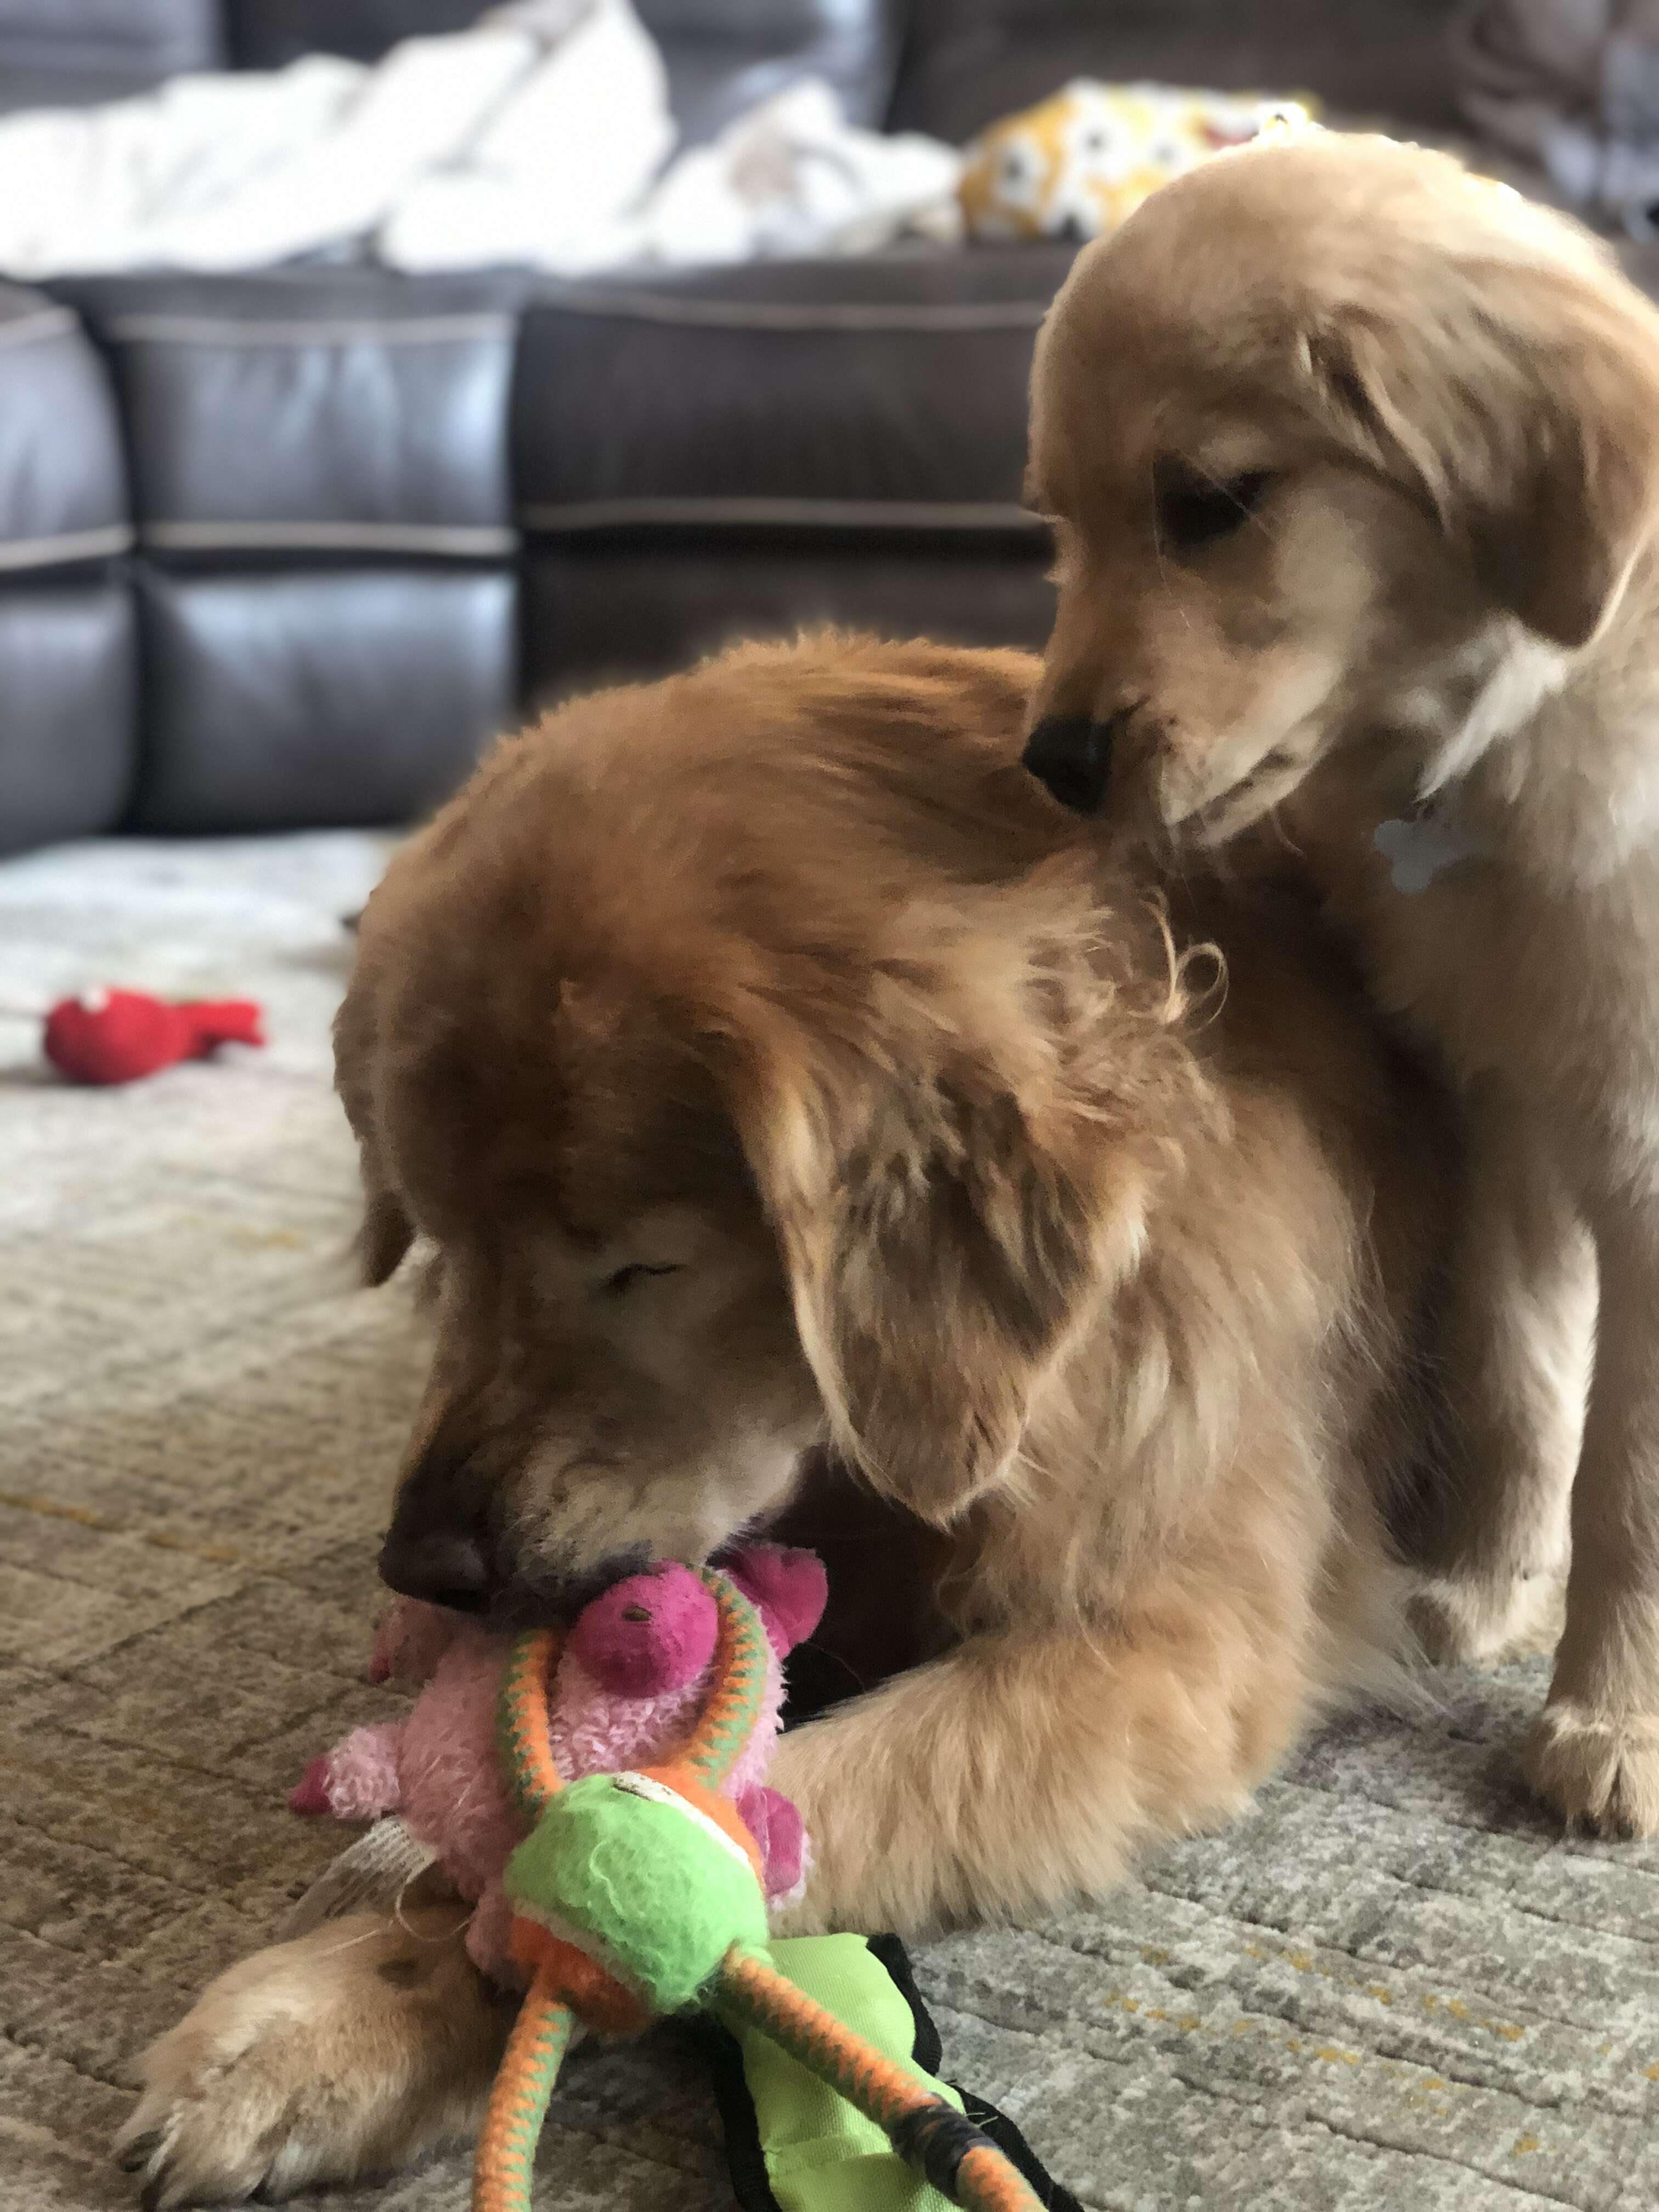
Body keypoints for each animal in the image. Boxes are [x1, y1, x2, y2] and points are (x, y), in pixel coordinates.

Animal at [120, 633, 1469, 2203]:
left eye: (641, 1266)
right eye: (443, 1243)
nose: (428, 1569)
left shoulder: (1170, 1652)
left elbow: (724, 1823)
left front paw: (356, 1999)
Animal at [1026, 129, 1659, 1840]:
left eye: (1210, 503)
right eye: (1060, 526)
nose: (1051, 764)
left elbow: (1633, 1469)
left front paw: (1615, 1720)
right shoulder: (1502, 1103)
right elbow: (1521, 1370)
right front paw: (1487, 1586)